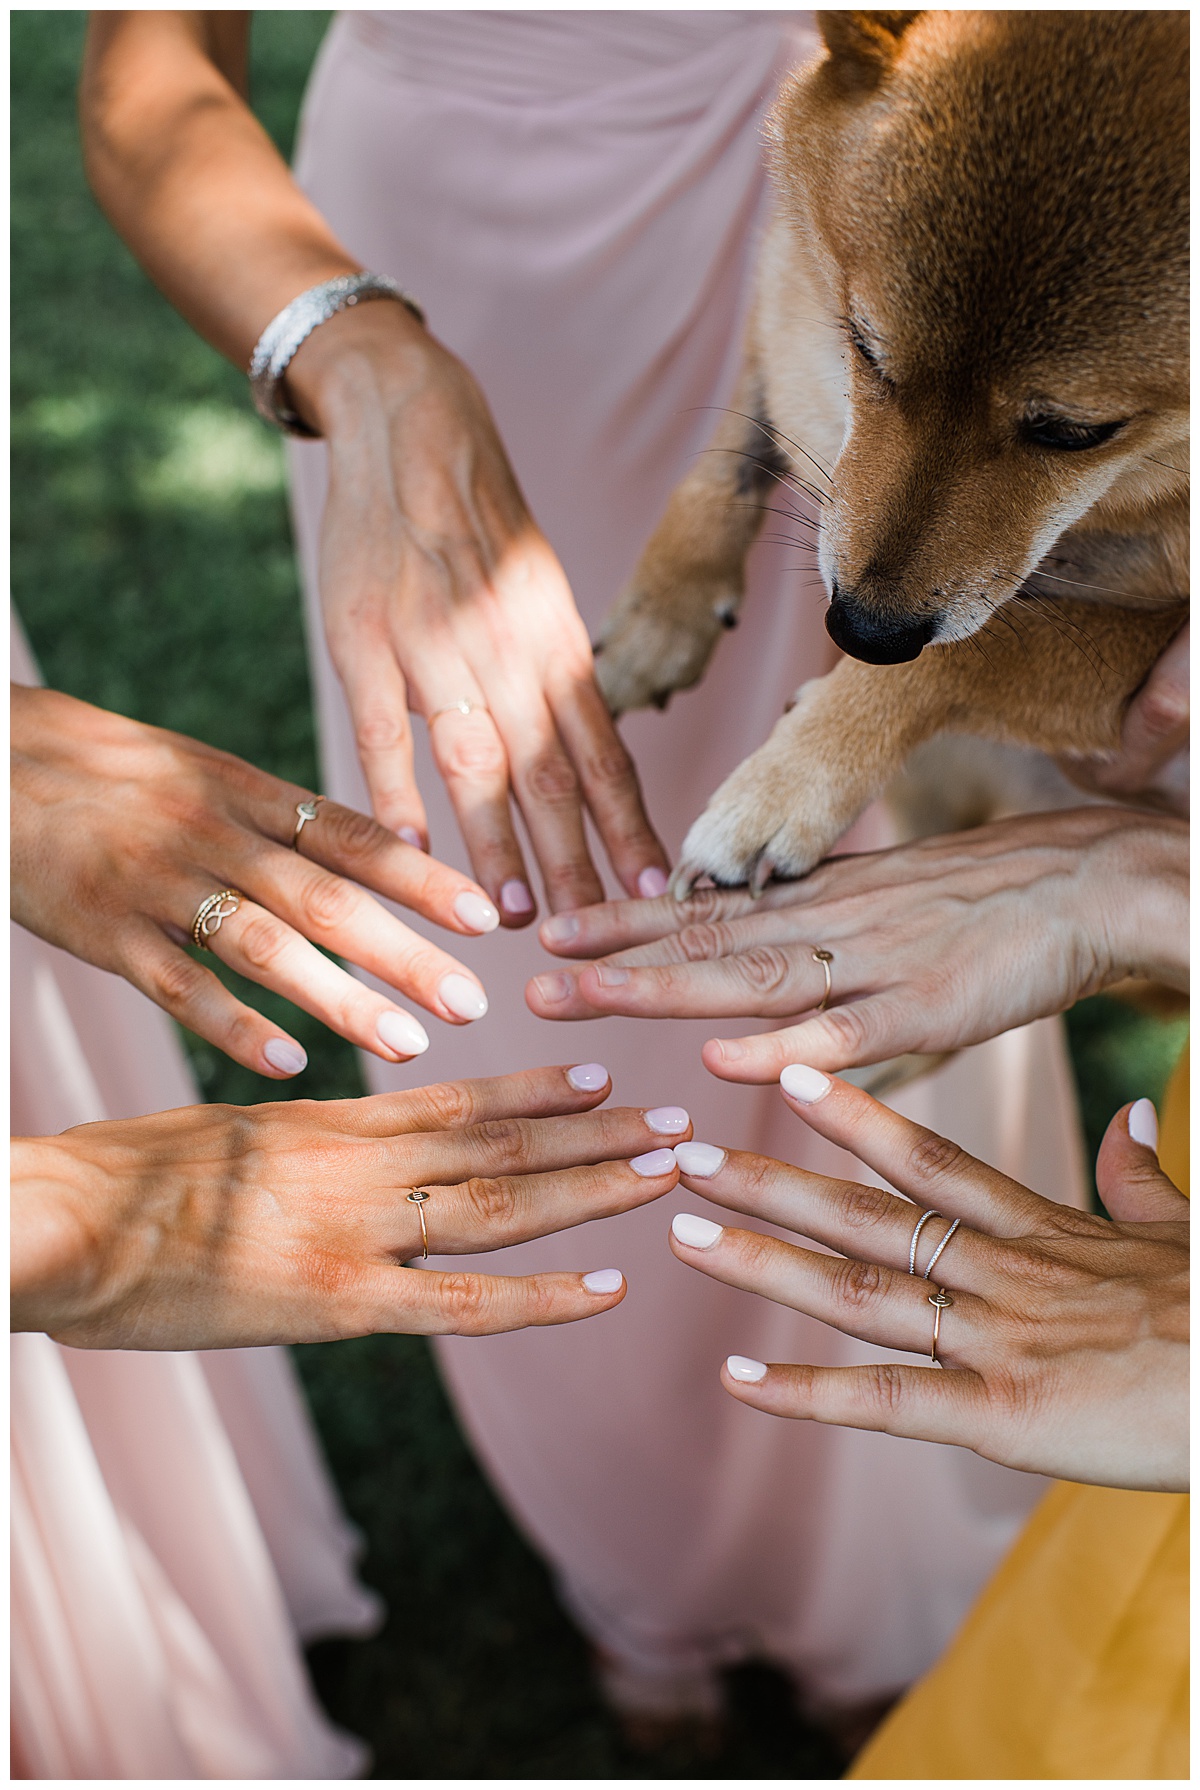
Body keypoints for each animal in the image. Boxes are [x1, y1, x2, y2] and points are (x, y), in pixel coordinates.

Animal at [598, 6, 1189, 887]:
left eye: (1075, 433)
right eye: (867, 349)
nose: (861, 634)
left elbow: (969, 656)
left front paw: (787, 784)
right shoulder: (785, 299)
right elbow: (726, 461)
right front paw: (655, 625)